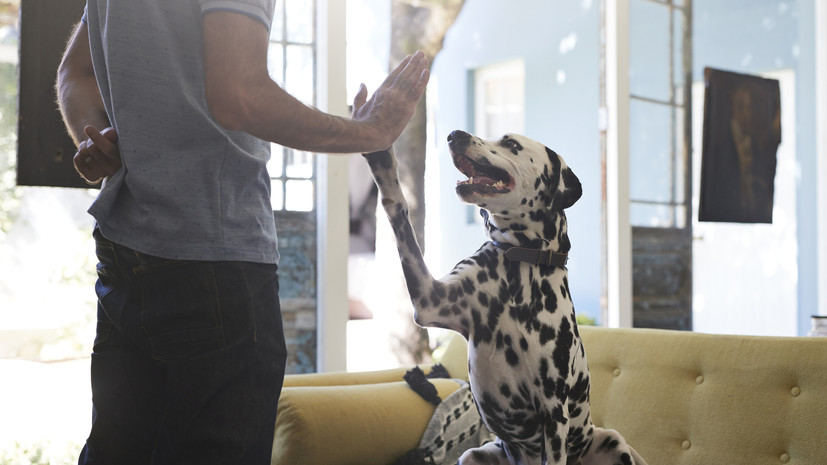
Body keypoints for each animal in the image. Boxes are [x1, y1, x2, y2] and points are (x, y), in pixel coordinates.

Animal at [364, 130, 648, 464]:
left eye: (511, 144)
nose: (454, 135)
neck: (521, 267)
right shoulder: (430, 299)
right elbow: (400, 212)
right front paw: (383, 164)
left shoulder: (554, 413)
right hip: (473, 455)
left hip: (612, 442)